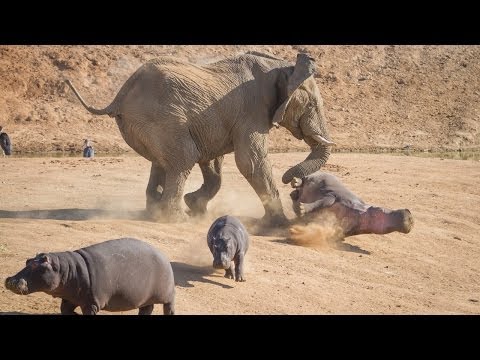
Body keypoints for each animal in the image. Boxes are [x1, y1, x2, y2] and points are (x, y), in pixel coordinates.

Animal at [3, 239, 176, 316]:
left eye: (35, 266)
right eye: (27, 261)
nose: (10, 280)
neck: (66, 269)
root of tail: (163, 254)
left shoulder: (91, 304)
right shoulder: (69, 298)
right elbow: (65, 311)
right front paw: (74, 315)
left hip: (167, 294)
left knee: (169, 307)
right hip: (145, 298)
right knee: (147, 308)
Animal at [65, 50, 336, 225]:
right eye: (311, 105)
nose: (293, 181)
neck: (282, 67)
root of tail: (120, 94)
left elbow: (213, 162)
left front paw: (196, 206)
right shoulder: (252, 111)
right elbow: (250, 162)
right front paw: (279, 224)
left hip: (148, 124)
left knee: (162, 163)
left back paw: (156, 213)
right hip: (161, 119)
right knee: (183, 158)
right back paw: (176, 219)